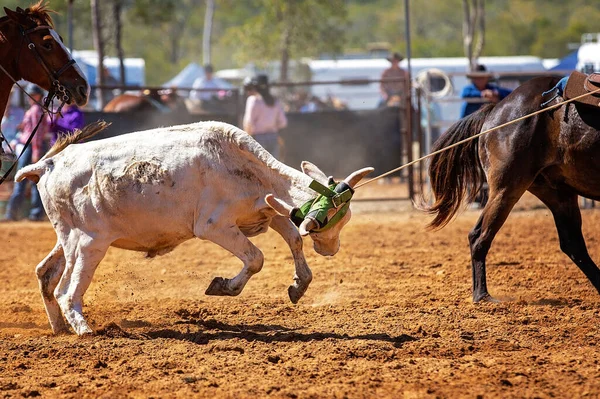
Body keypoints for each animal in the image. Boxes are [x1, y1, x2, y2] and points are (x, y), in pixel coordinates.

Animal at [424, 76, 600, 304]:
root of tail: (495, 110)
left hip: (557, 192)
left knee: (573, 244)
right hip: (507, 189)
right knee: (479, 237)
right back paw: (482, 295)